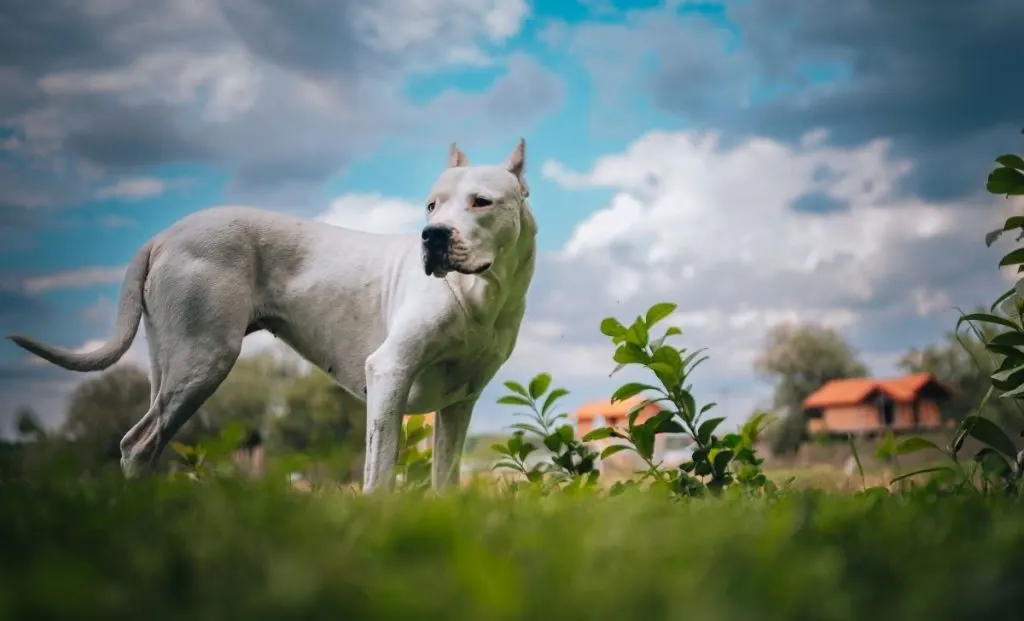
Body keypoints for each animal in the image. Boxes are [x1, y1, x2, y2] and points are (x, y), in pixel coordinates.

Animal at [9, 138, 536, 493]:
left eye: (481, 202)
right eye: (431, 205)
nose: (433, 235)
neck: (481, 292)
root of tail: (163, 236)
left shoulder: (458, 405)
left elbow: (445, 479)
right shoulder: (390, 372)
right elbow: (379, 471)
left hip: (171, 364)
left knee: (146, 442)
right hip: (204, 359)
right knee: (138, 443)